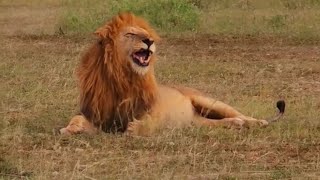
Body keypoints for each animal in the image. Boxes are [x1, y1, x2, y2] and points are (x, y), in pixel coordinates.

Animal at [59, 12, 284, 136]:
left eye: (146, 33)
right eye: (130, 33)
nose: (149, 40)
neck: (122, 77)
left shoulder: (152, 108)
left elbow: (149, 121)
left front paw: (135, 129)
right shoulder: (96, 113)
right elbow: (76, 119)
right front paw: (69, 129)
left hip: (210, 102)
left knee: (241, 114)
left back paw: (258, 122)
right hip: (198, 122)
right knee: (222, 122)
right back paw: (236, 125)